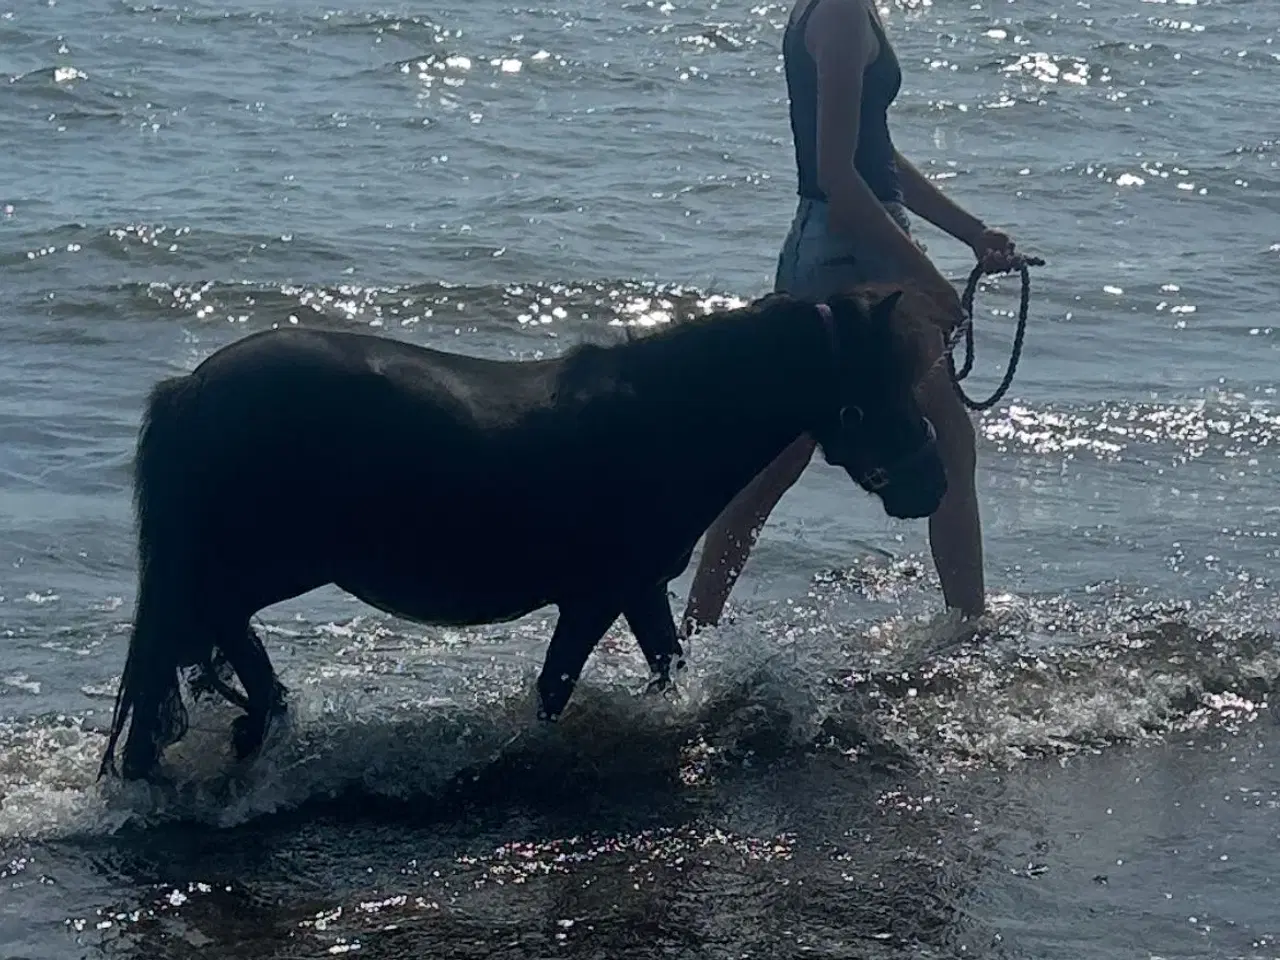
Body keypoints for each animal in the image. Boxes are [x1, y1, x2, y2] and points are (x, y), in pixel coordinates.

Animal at [98, 288, 948, 781]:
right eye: (883, 382)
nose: (931, 482)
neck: (669, 417)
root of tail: (191, 387)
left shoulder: (636, 590)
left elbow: (663, 669)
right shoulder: (597, 597)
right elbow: (555, 692)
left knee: (199, 638)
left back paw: (246, 725)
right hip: (269, 563)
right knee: (202, 627)